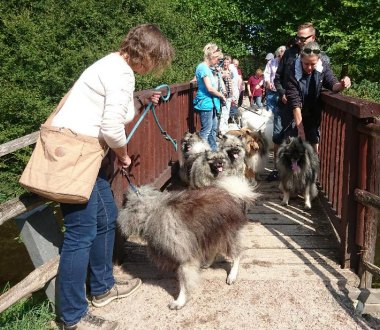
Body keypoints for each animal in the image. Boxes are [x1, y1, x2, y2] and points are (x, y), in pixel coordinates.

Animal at [117, 178, 256, 310]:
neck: (151, 213)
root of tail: (230, 194)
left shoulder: (184, 259)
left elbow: (184, 282)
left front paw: (180, 301)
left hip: (227, 234)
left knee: (237, 255)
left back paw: (232, 275)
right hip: (210, 234)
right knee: (213, 250)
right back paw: (207, 263)